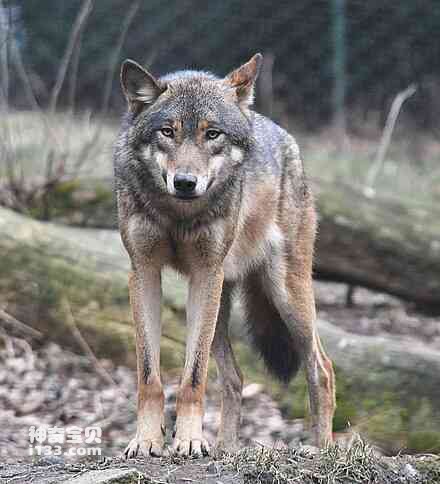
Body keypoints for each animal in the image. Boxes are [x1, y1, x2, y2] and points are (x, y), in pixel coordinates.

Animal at [115, 53, 336, 458]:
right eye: (167, 132)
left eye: (212, 134)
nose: (185, 182)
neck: (179, 215)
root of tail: (281, 133)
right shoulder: (144, 272)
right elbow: (149, 376)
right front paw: (147, 440)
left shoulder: (205, 273)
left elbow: (193, 377)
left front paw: (188, 441)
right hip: (218, 305)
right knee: (235, 378)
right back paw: (226, 449)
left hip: (283, 294)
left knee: (321, 368)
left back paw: (322, 449)